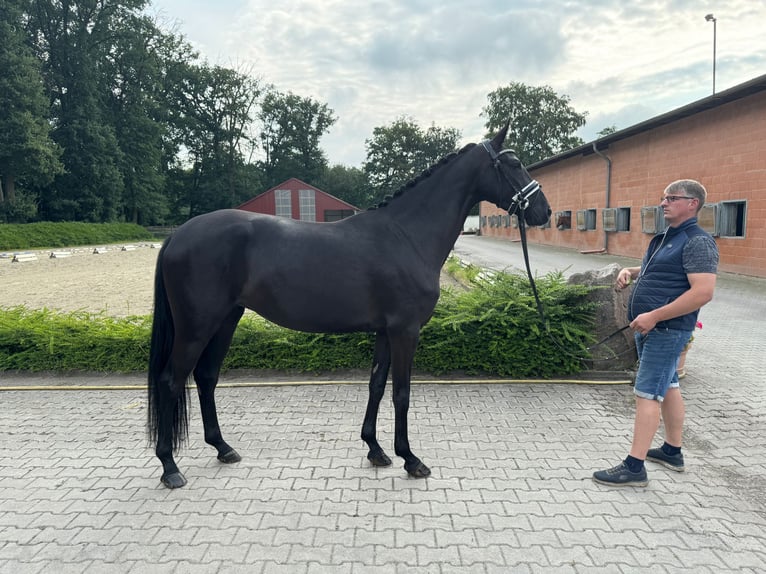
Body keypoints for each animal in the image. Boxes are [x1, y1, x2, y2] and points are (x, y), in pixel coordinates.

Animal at [146, 124, 552, 488]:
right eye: (514, 164)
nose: (544, 212)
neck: (406, 236)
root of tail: (177, 235)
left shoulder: (385, 331)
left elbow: (376, 385)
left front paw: (376, 450)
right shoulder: (405, 331)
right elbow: (402, 393)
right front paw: (411, 459)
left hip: (226, 320)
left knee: (205, 376)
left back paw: (223, 448)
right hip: (196, 326)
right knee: (171, 380)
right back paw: (170, 467)